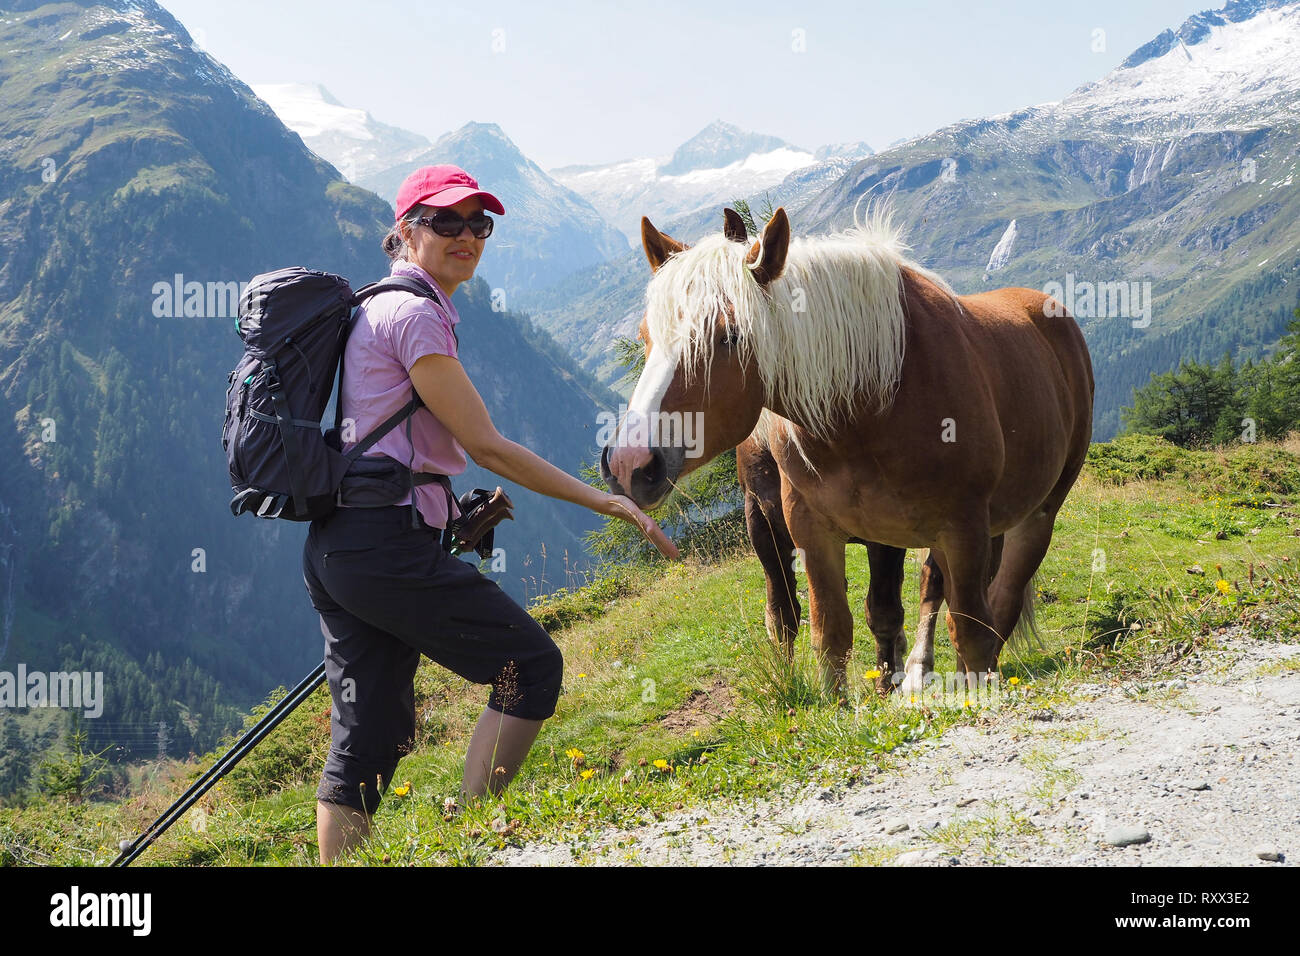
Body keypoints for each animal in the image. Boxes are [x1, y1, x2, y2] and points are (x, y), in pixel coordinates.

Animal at [603, 205, 1093, 694]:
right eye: (646, 336)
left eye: (731, 336)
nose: (629, 464)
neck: (874, 402)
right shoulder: (802, 525)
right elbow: (823, 628)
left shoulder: (951, 526)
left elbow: (949, 625)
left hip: (1032, 517)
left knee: (994, 602)